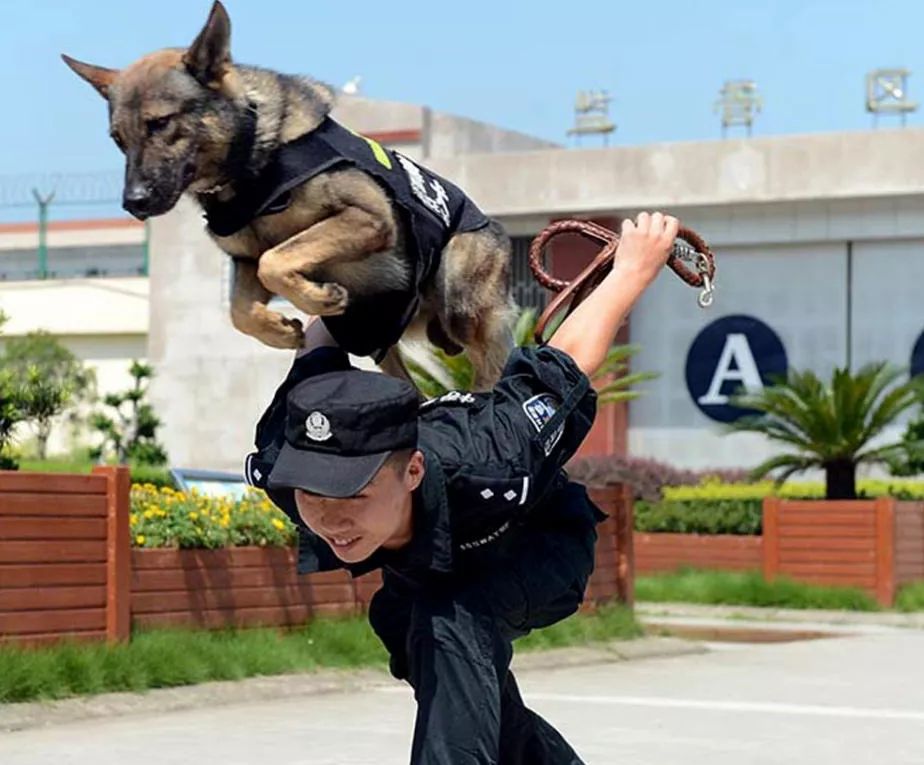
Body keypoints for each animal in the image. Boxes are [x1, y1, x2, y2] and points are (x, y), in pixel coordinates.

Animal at [62, 1, 516, 388]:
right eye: (119, 140)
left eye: (160, 123)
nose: (133, 203)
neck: (252, 168)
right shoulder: (244, 263)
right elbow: (239, 310)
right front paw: (279, 329)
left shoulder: (368, 218)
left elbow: (275, 260)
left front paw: (312, 297)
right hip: (375, 340)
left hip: (460, 304)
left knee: (490, 365)